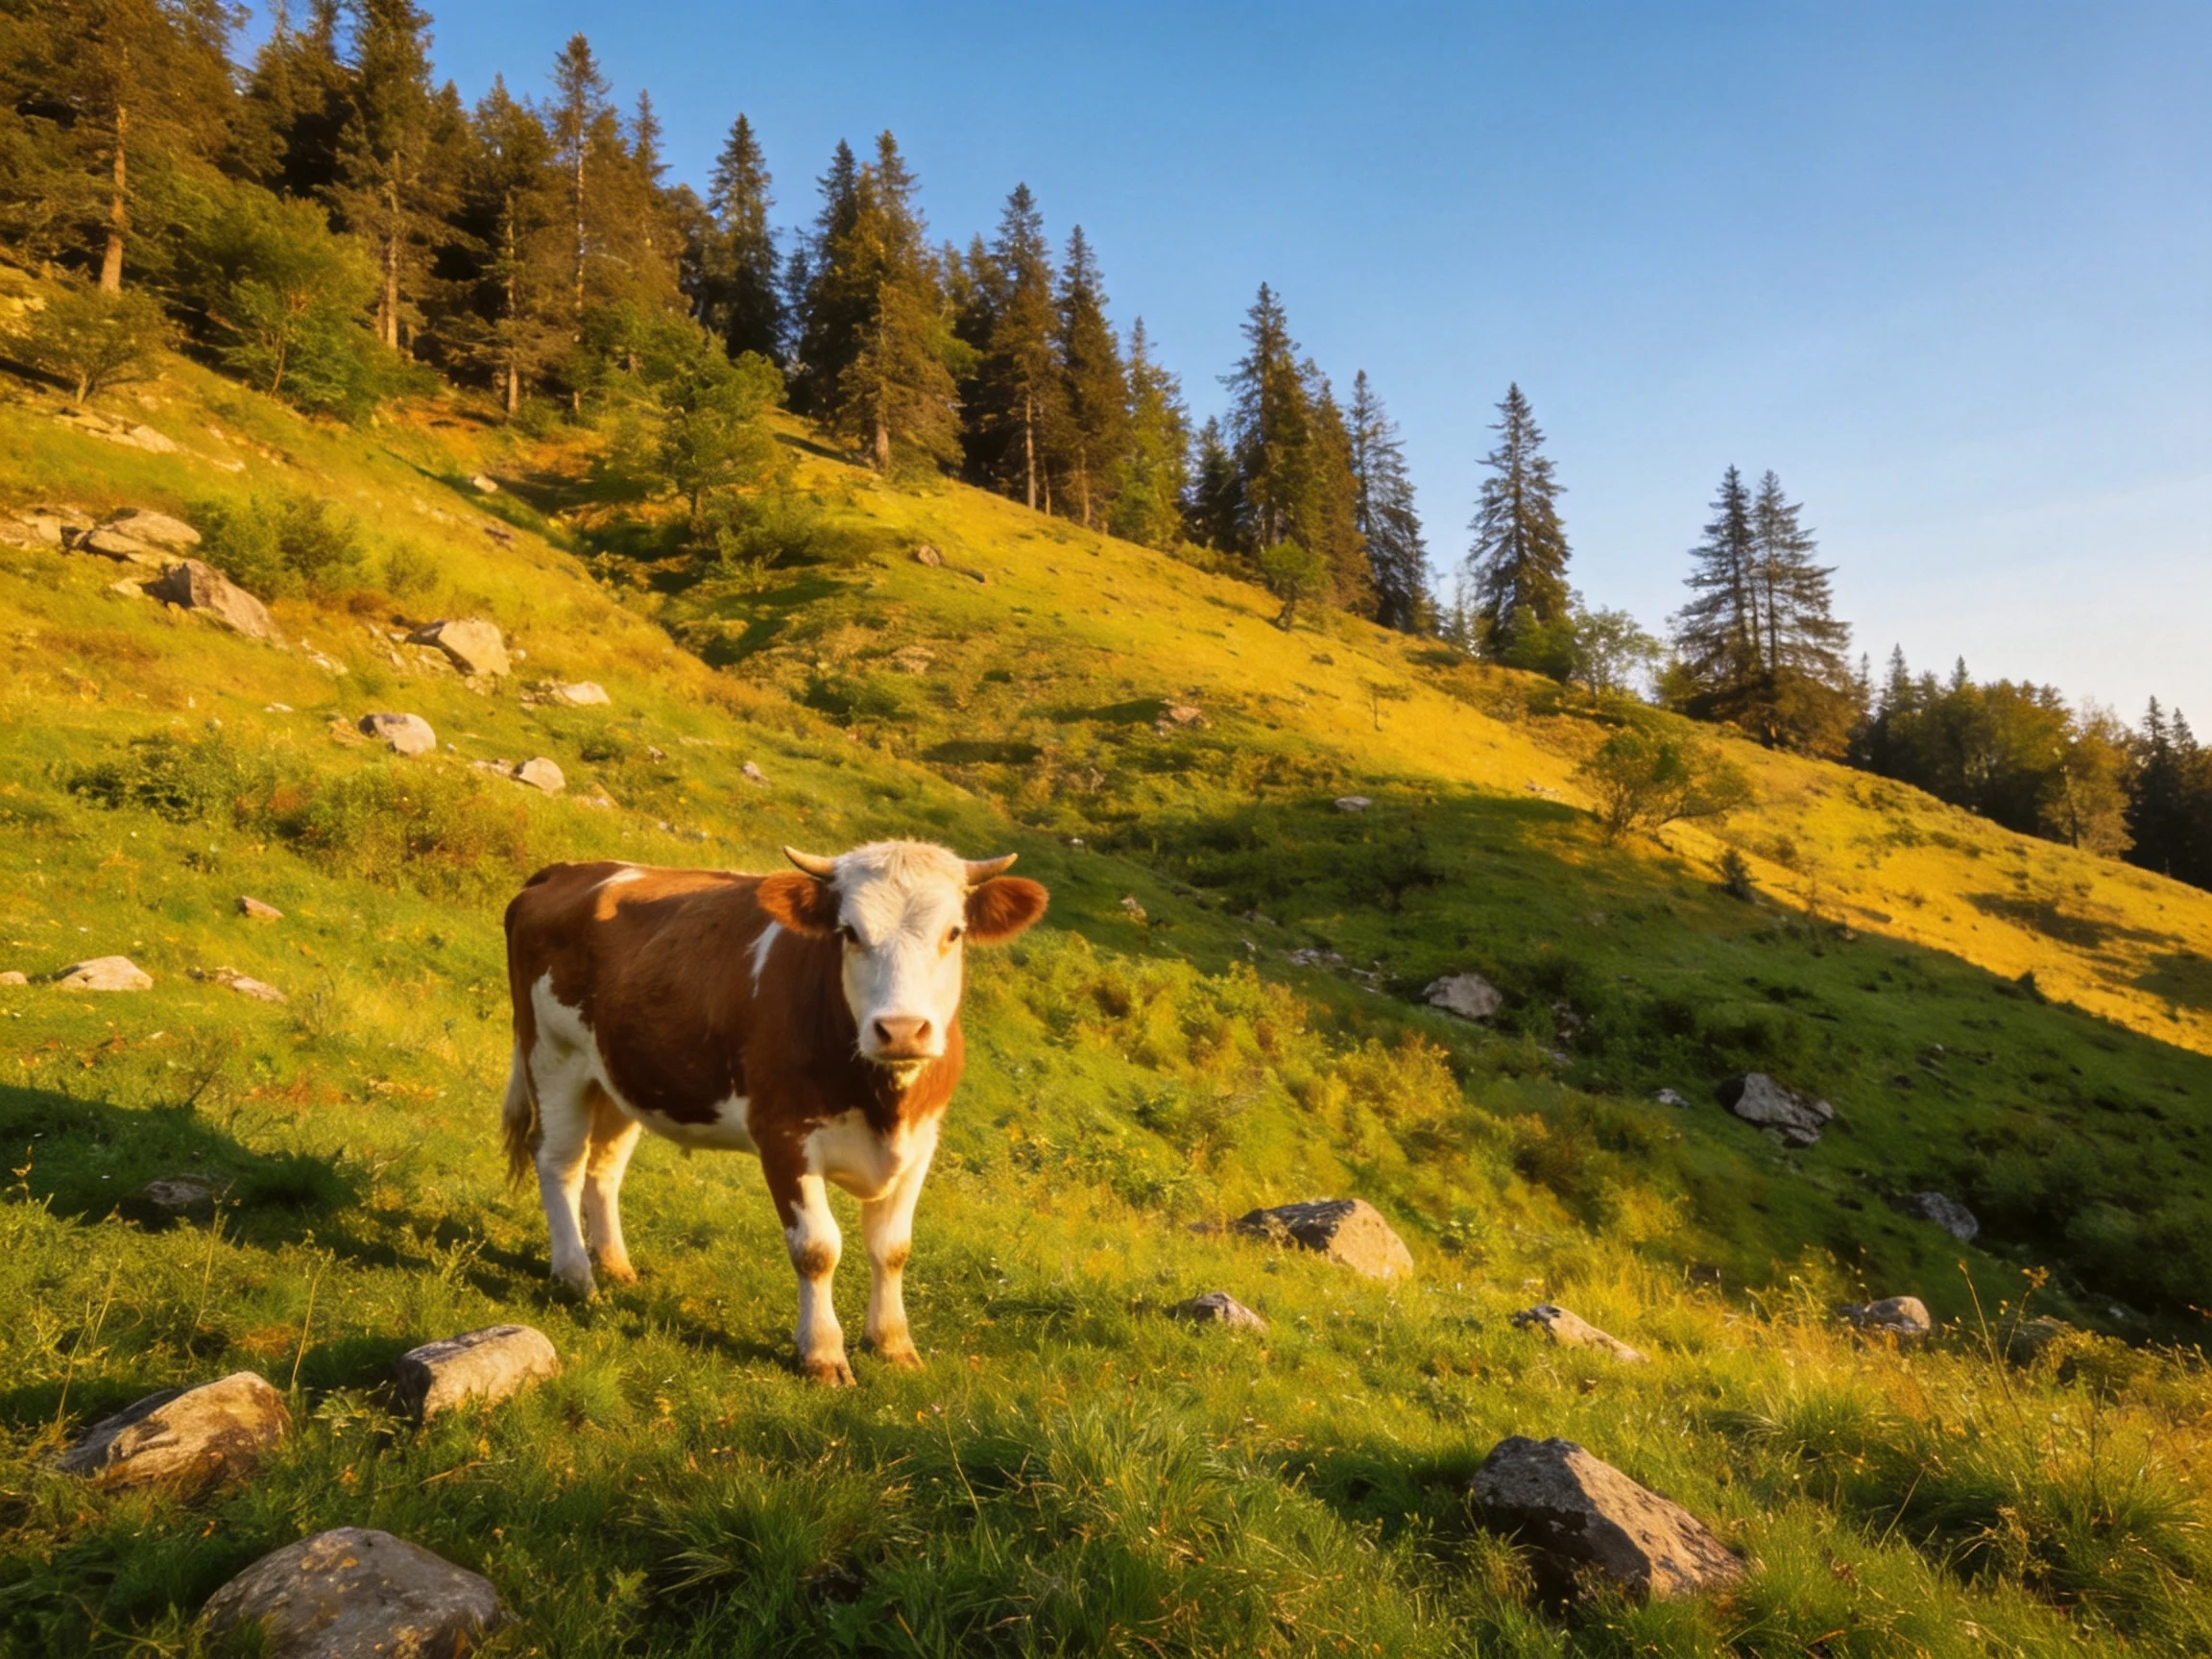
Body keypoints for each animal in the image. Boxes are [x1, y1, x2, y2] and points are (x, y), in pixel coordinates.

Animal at [499, 841, 1048, 1384]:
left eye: (953, 932)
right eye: (849, 932)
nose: (901, 1030)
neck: (883, 1104)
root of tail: (569, 870)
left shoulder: (921, 1141)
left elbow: (893, 1247)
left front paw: (893, 1344)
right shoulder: (785, 1136)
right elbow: (817, 1248)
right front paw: (822, 1354)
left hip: (619, 1076)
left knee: (604, 1167)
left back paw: (614, 1265)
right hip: (552, 1055)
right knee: (560, 1162)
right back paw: (575, 1275)